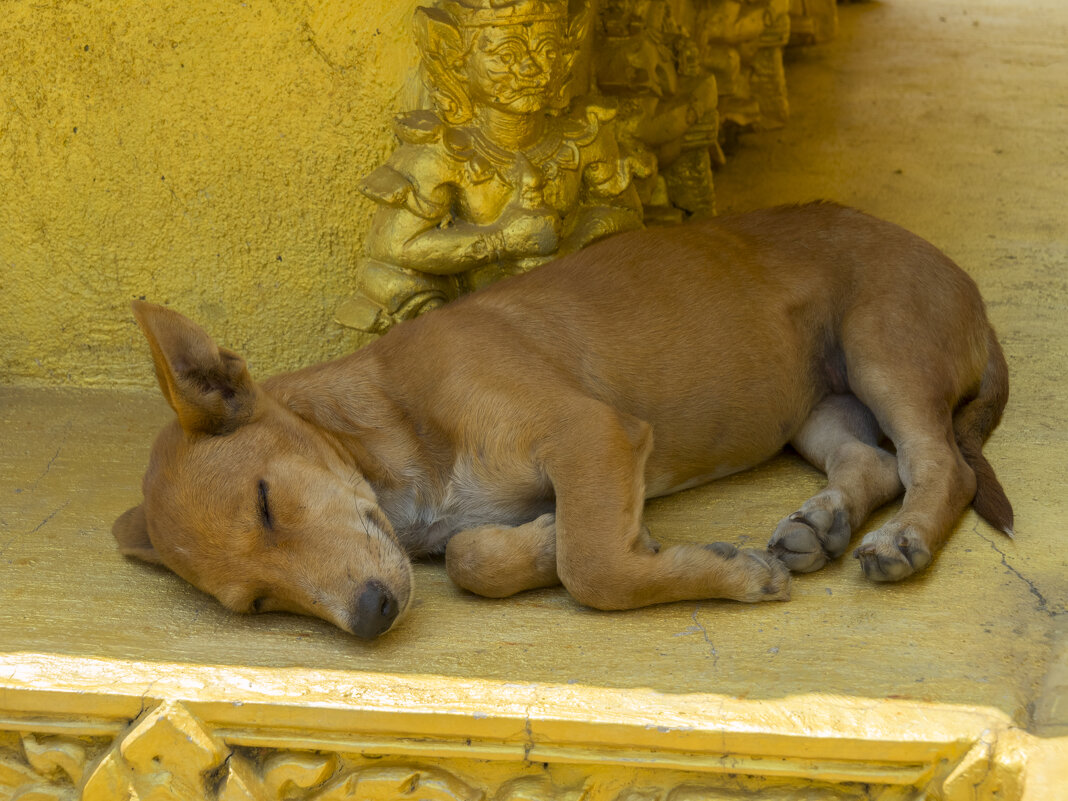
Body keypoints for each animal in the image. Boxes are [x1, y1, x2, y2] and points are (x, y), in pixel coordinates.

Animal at [112, 203, 1012, 645]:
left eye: (266, 502)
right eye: (257, 603)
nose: (371, 617)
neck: (390, 417)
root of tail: (964, 279)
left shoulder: (590, 432)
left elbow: (594, 568)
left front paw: (723, 571)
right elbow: (479, 557)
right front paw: (540, 539)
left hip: (882, 346)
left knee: (941, 464)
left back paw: (904, 539)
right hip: (813, 406)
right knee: (876, 462)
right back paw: (819, 523)